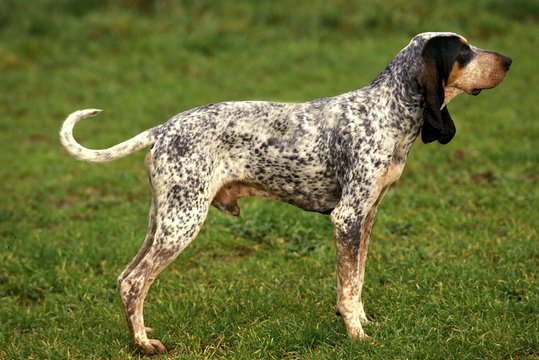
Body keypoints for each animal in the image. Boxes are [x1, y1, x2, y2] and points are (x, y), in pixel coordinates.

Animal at [59, 33, 510, 354]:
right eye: (464, 51)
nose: (508, 61)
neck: (386, 111)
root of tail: (163, 128)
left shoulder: (367, 217)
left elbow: (357, 282)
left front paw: (362, 324)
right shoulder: (347, 217)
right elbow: (349, 288)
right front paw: (357, 336)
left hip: (164, 220)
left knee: (125, 278)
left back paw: (138, 332)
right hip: (183, 223)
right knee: (136, 281)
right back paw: (143, 344)